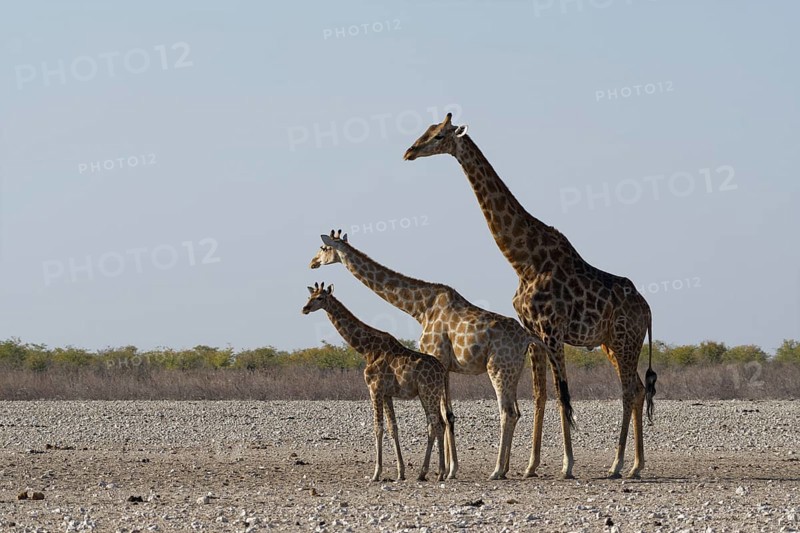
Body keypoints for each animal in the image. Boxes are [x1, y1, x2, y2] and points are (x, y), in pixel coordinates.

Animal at [302, 282, 458, 482]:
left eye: (320, 298)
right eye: (309, 296)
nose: (304, 309)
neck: (366, 349)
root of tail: (443, 372)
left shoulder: (374, 388)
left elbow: (378, 428)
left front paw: (376, 473)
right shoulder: (387, 393)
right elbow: (393, 428)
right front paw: (400, 472)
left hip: (428, 392)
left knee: (435, 424)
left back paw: (432, 473)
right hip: (429, 394)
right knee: (439, 423)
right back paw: (434, 472)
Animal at [403, 113, 657, 479]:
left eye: (438, 135)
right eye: (426, 129)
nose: (409, 151)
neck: (523, 260)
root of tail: (648, 310)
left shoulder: (552, 330)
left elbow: (564, 395)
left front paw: (567, 465)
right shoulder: (534, 332)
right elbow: (541, 395)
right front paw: (530, 466)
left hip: (626, 339)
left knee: (627, 391)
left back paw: (618, 464)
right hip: (612, 343)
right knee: (637, 389)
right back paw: (636, 464)